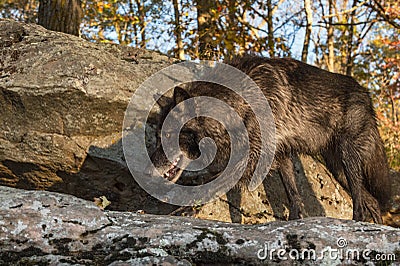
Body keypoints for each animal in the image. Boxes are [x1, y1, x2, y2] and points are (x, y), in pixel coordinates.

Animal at [148, 55, 390, 223]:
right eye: (157, 136)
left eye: (167, 136)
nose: (149, 172)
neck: (237, 104)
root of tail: (366, 94)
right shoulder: (280, 155)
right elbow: (293, 196)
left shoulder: (251, 158)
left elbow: (212, 186)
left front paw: (185, 209)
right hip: (337, 168)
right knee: (371, 201)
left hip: (347, 159)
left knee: (360, 199)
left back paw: (358, 221)